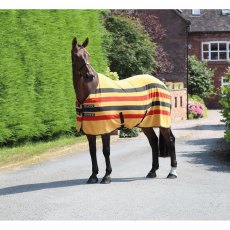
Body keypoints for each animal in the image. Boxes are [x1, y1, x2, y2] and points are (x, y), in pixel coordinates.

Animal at [71, 36, 177, 184]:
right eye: (76, 56)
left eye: (88, 55)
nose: (89, 76)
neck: (90, 92)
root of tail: (162, 84)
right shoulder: (89, 130)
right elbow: (92, 152)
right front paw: (93, 176)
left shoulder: (106, 129)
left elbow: (106, 151)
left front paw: (107, 176)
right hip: (146, 124)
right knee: (153, 141)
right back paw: (152, 171)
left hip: (163, 121)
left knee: (170, 141)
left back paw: (172, 172)